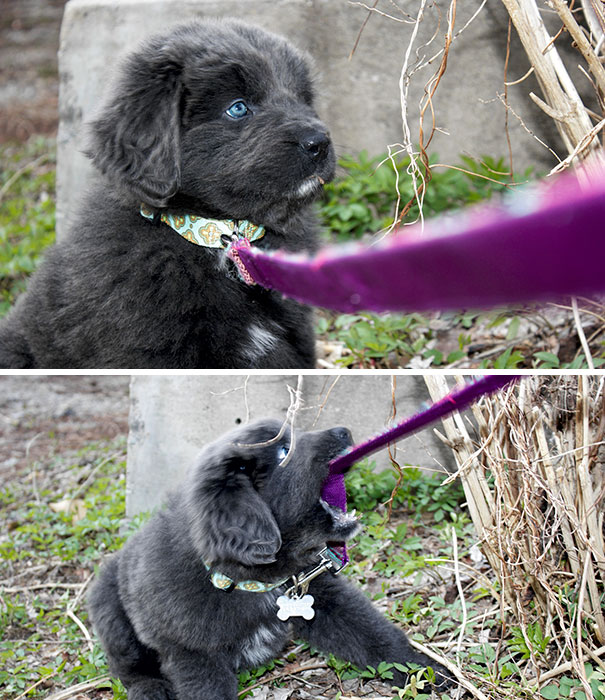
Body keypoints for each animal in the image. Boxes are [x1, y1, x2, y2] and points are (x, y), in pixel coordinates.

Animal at [88, 418, 448, 696]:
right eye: (283, 451)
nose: (345, 430)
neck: (253, 582)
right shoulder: (193, 653)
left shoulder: (327, 599)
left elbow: (379, 639)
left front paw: (429, 673)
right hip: (111, 613)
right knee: (131, 669)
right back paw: (151, 691)